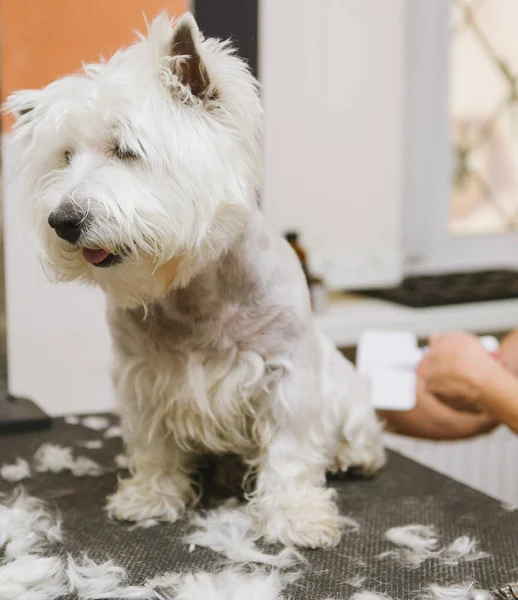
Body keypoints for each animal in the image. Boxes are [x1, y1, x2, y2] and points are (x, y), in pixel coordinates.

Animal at [5, 12, 386, 548]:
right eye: (63, 157)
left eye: (127, 149)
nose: (63, 221)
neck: (192, 294)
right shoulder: (141, 376)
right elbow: (153, 445)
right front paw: (150, 497)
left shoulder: (286, 375)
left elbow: (289, 451)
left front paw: (295, 517)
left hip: (346, 390)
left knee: (361, 430)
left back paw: (353, 456)